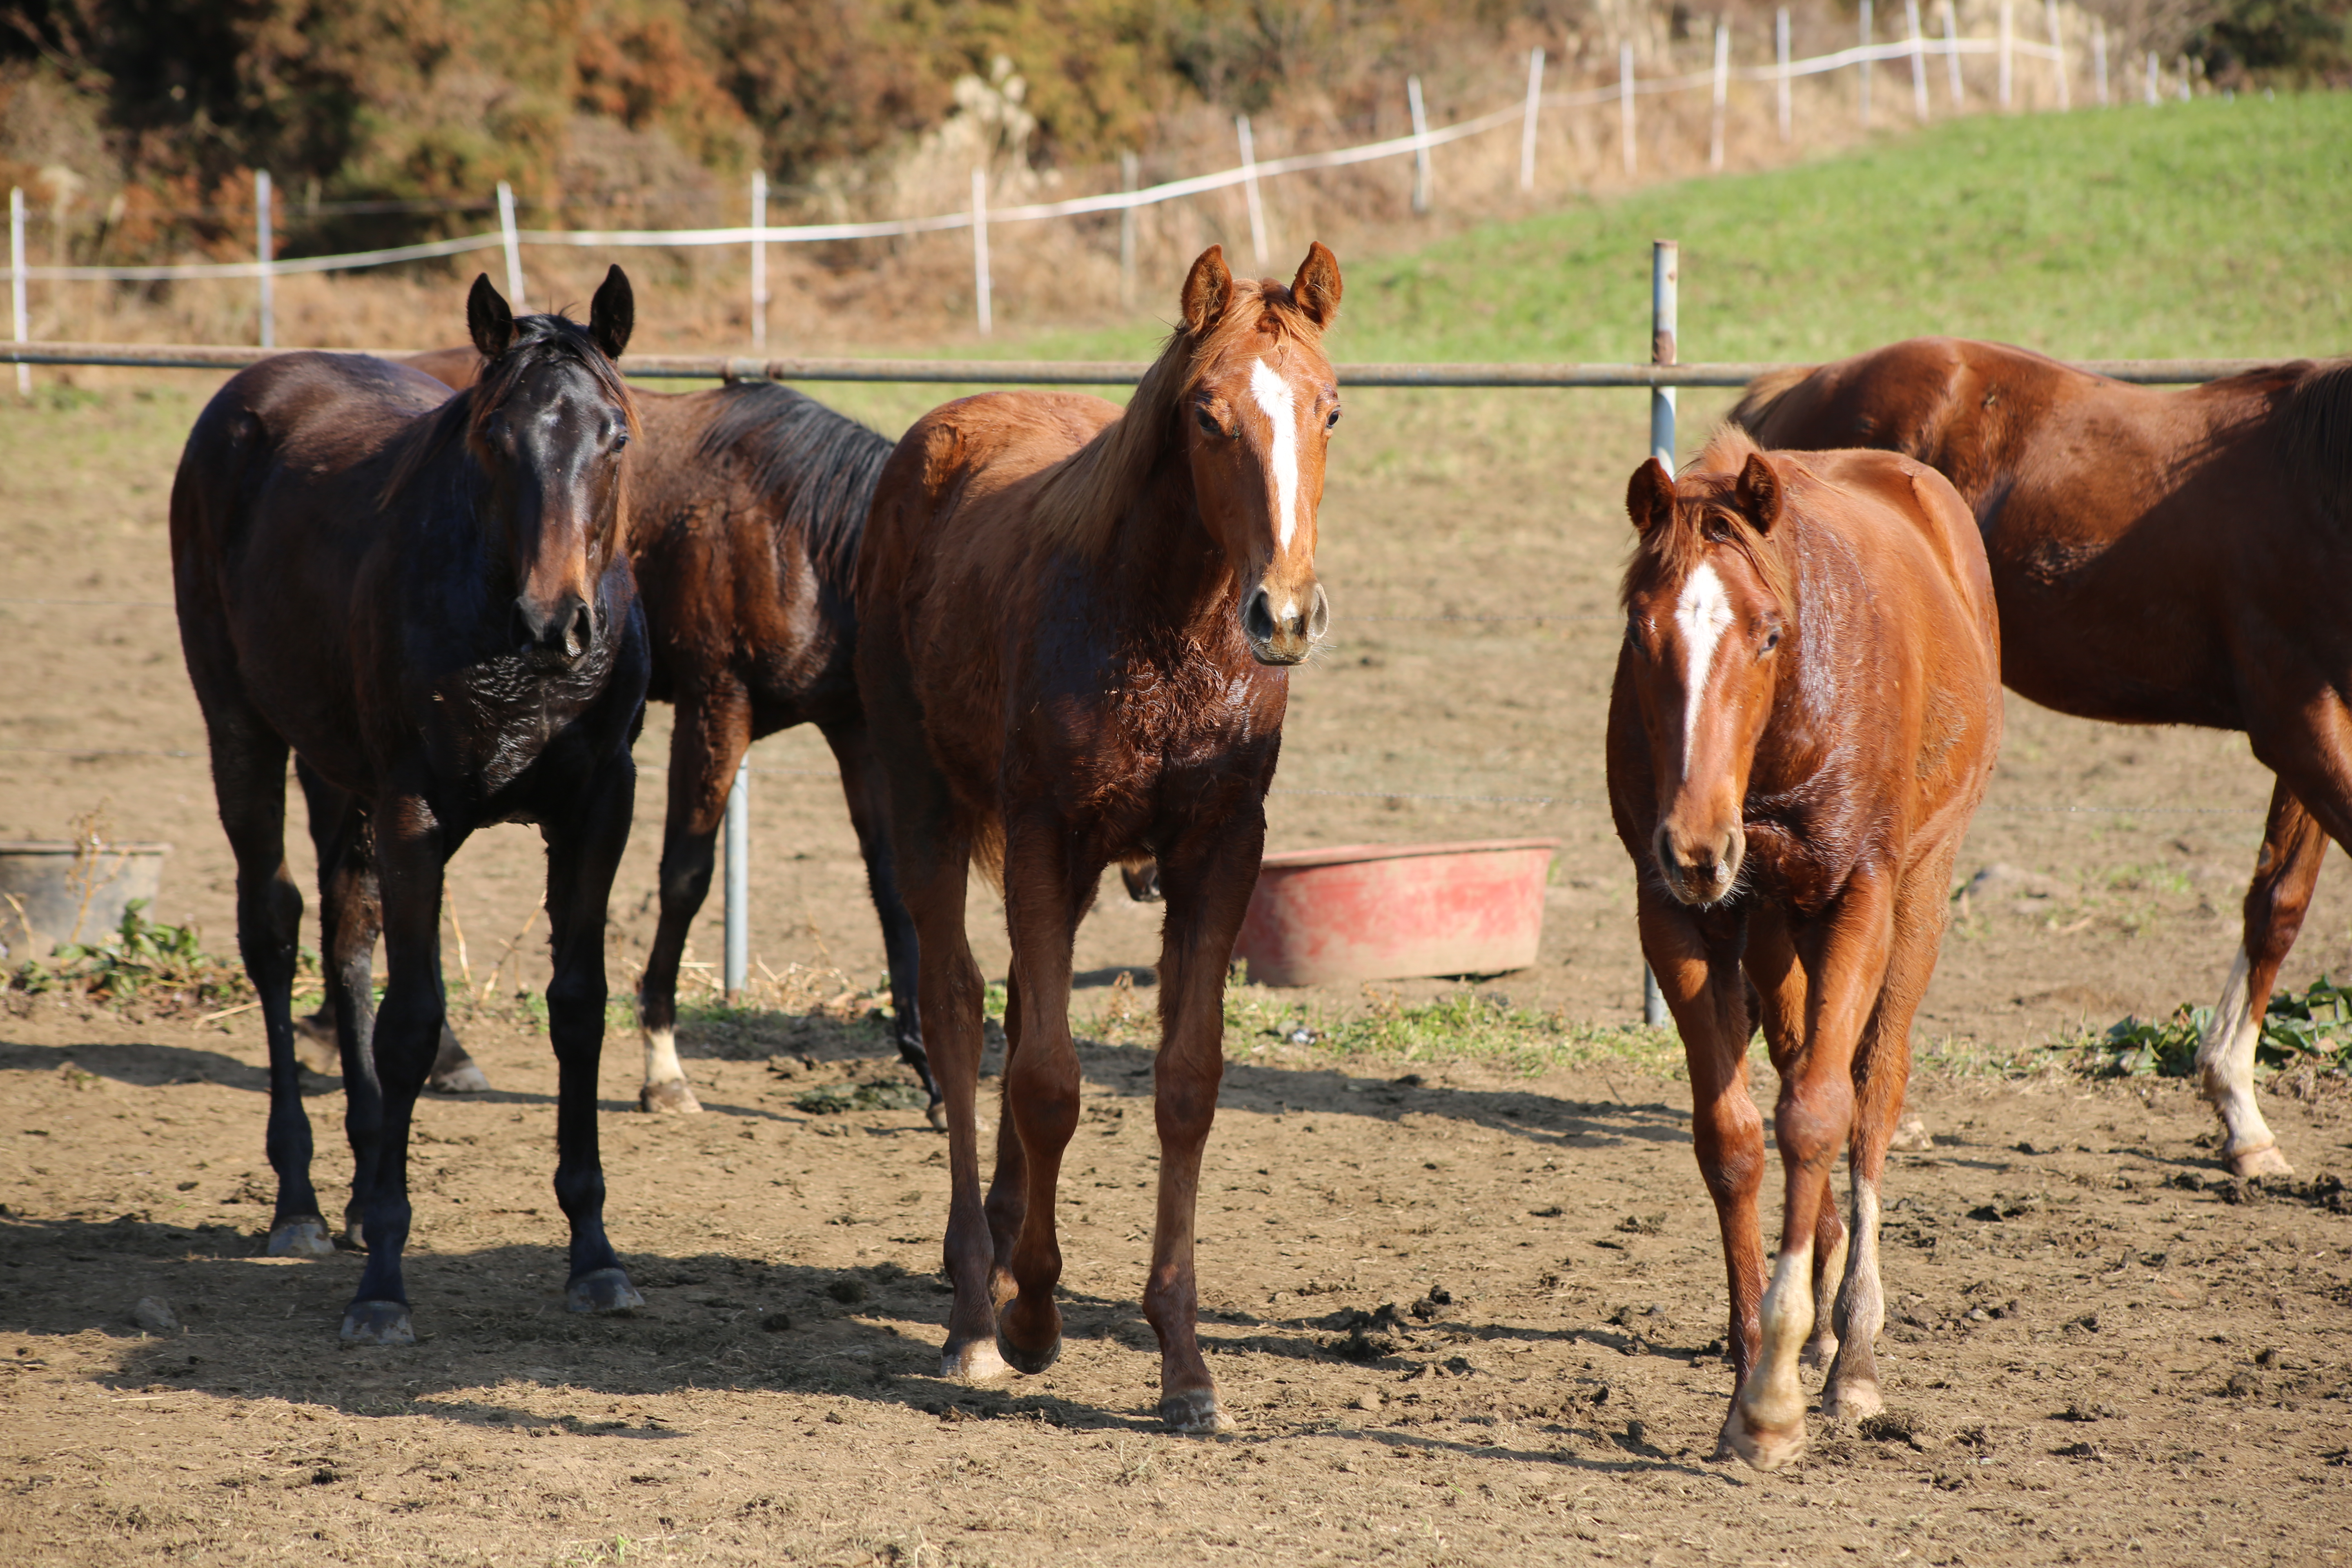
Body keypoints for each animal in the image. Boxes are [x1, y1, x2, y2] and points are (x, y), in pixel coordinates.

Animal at [172, 272, 654, 1354]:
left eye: (614, 437)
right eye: (495, 437)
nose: (556, 622)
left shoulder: (599, 807)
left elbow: (577, 1008)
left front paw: (595, 1254)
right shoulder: (413, 813)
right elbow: (412, 1023)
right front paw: (384, 1284)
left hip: (335, 772)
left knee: (347, 935)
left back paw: (352, 1193)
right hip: (242, 732)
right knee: (274, 931)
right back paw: (304, 1203)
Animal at [861, 245, 1345, 1439]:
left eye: (1329, 409)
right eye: (1207, 415)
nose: (1285, 615)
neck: (1163, 630)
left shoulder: (1219, 849)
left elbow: (1185, 1083)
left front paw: (1184, 1363)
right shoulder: (1045, 832)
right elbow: (1047, 1083)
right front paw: (1031, 1314)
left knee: (1015, 1005)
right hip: (924, 801)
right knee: (956, 1006)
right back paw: (974, 1306)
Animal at [1618, 430, 2004, 1476]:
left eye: (1766, 632)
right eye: (1640, 629)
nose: (1695, 845)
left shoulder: (1858, 900)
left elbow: (1819, 1117)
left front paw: (1776, 1401)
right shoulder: (1677, 917)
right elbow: (1734, 1139)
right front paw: (1753, 1363)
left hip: (1913, 897)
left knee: (1870, 1099)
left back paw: (1852, 1348)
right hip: (1769, 934)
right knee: (1795, 1065)